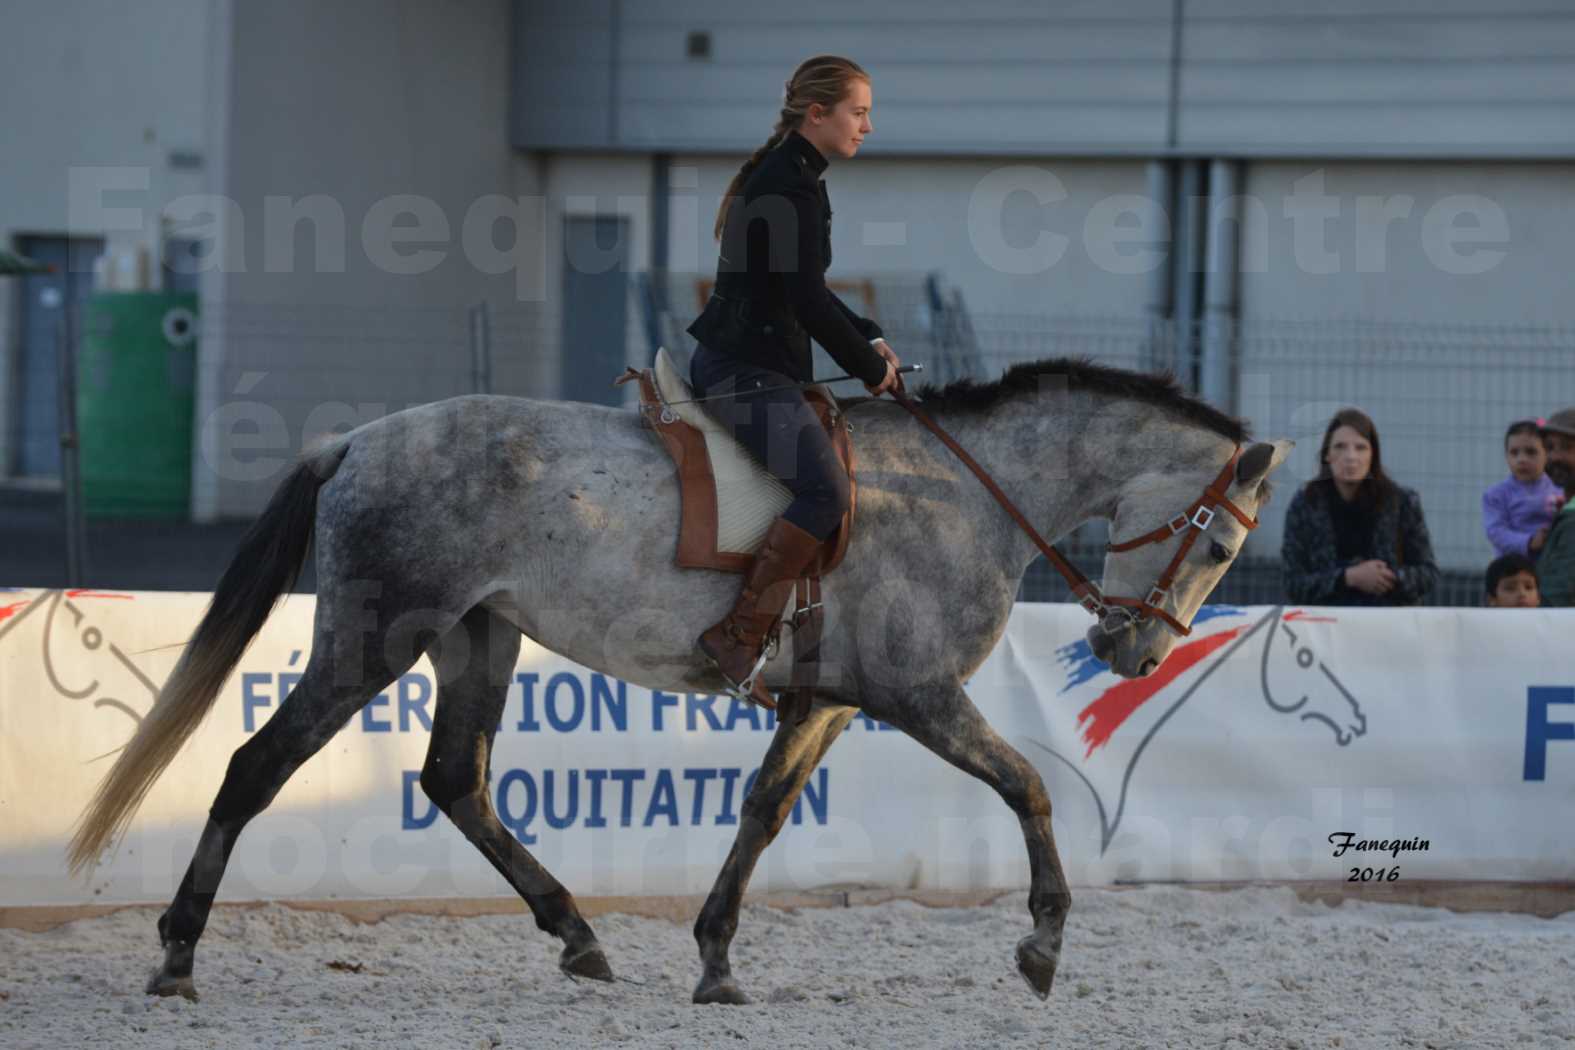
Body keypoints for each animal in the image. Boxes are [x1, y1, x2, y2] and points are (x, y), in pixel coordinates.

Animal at [64, 357, 1291, 1007]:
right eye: (1224, 547)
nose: (1139, 656)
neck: (963, 491)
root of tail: (358, 442)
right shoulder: (918, 696)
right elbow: (1027, 788)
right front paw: (1040, 946)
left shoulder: (829, 701)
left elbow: (762, 811)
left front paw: (713, 961)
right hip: (376, 641)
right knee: (254, 766)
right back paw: (177, 954)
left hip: (478, 639)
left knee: (457, 780)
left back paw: (577, 934)